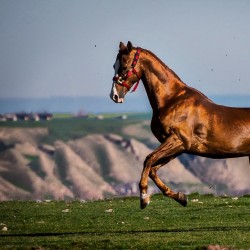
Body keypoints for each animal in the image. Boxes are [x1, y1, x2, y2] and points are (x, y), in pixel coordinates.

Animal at [110, 41, 250, 209]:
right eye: (114, 65)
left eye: (124, 66)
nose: (114, 95)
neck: (172, 100)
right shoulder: (179, 147)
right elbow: (153, 169)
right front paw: (181, 197)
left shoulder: (178, 140)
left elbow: (148, 159)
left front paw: (144, 198)